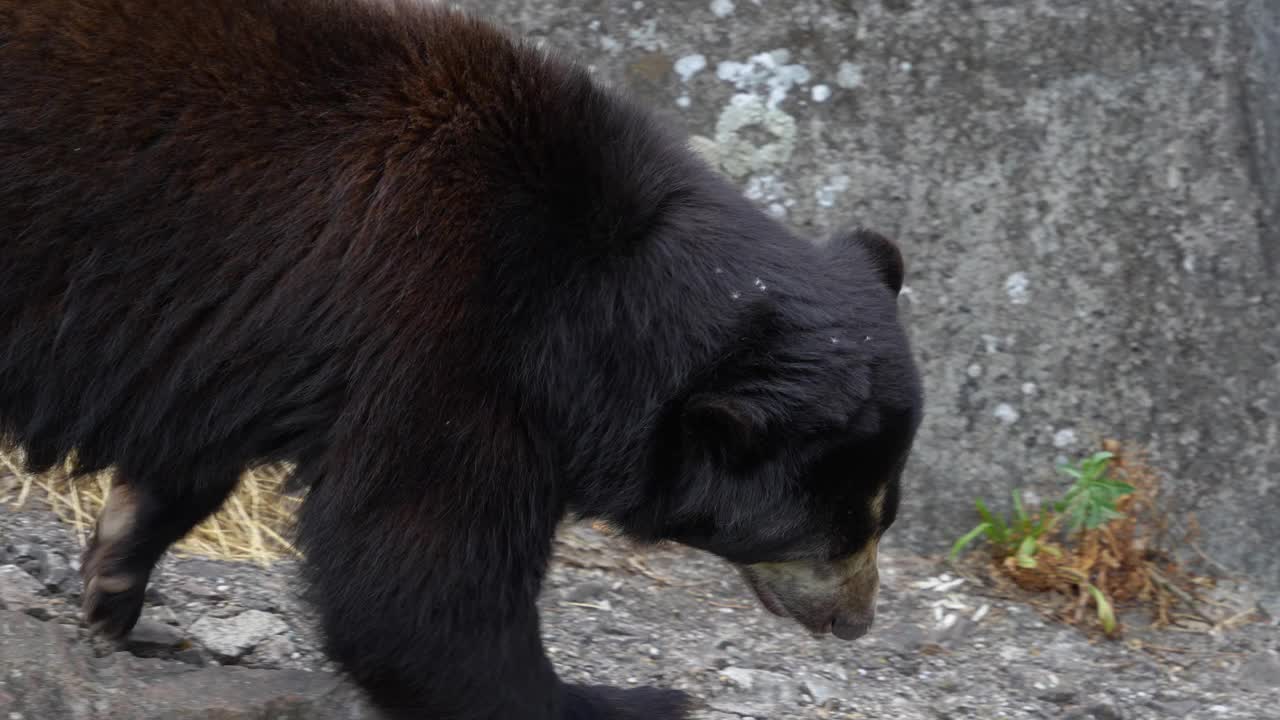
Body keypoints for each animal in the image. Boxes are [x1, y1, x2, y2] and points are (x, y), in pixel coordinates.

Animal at [0, 1, 921, 717]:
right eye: (839, 529)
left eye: (884, 516)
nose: (858, 620)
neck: (604, 294)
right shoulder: (452, 333)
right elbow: (419, 578)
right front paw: (626, 698)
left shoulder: (236, 338)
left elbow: (192, 457)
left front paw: (114, 582)